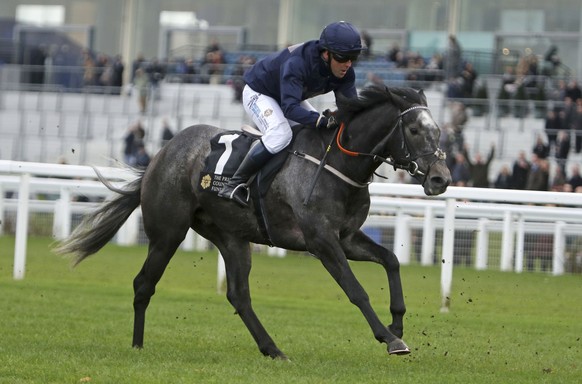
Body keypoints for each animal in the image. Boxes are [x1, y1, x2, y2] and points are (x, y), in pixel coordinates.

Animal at [56, 85, 452, 360]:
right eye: (415, 130)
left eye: (438, 130)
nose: (440, 178)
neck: (339, 163)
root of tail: (161, 154)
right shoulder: (321, 241)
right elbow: (356, 290)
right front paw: (390, 339)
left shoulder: (348, 237)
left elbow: (392, 260)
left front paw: (397, 322)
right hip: (168, 233)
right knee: (143, 284)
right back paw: (137, 346)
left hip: (231, 237)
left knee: (238, 295)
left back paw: (272, 349)